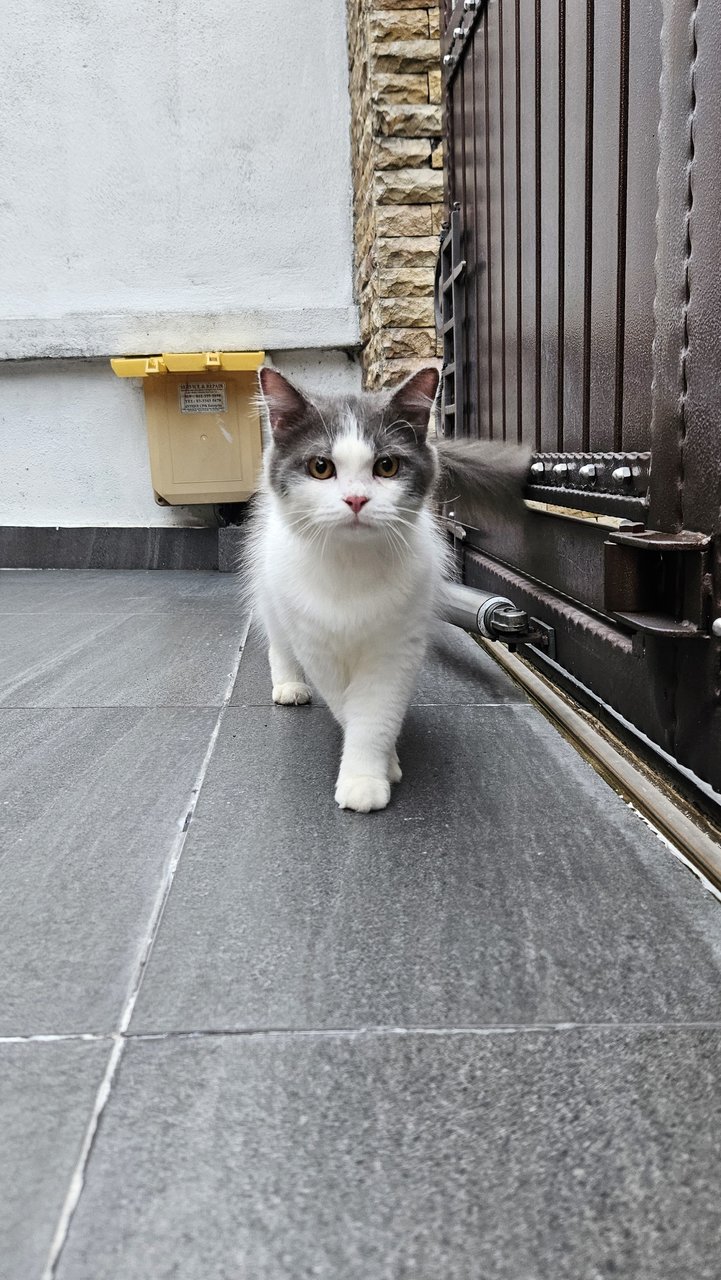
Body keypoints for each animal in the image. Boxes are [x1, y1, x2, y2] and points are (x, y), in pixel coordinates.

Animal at [248, 366, 530, 814]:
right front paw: (372, 770)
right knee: (278, 640)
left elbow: (375, 713)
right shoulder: (318, 647)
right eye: (321, 467)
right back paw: (289, 686)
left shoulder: (397, 647)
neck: (352, 567)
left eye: (386, 466)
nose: (356, 499)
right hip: (273, 593)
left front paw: (372, 771)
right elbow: (347, 707)